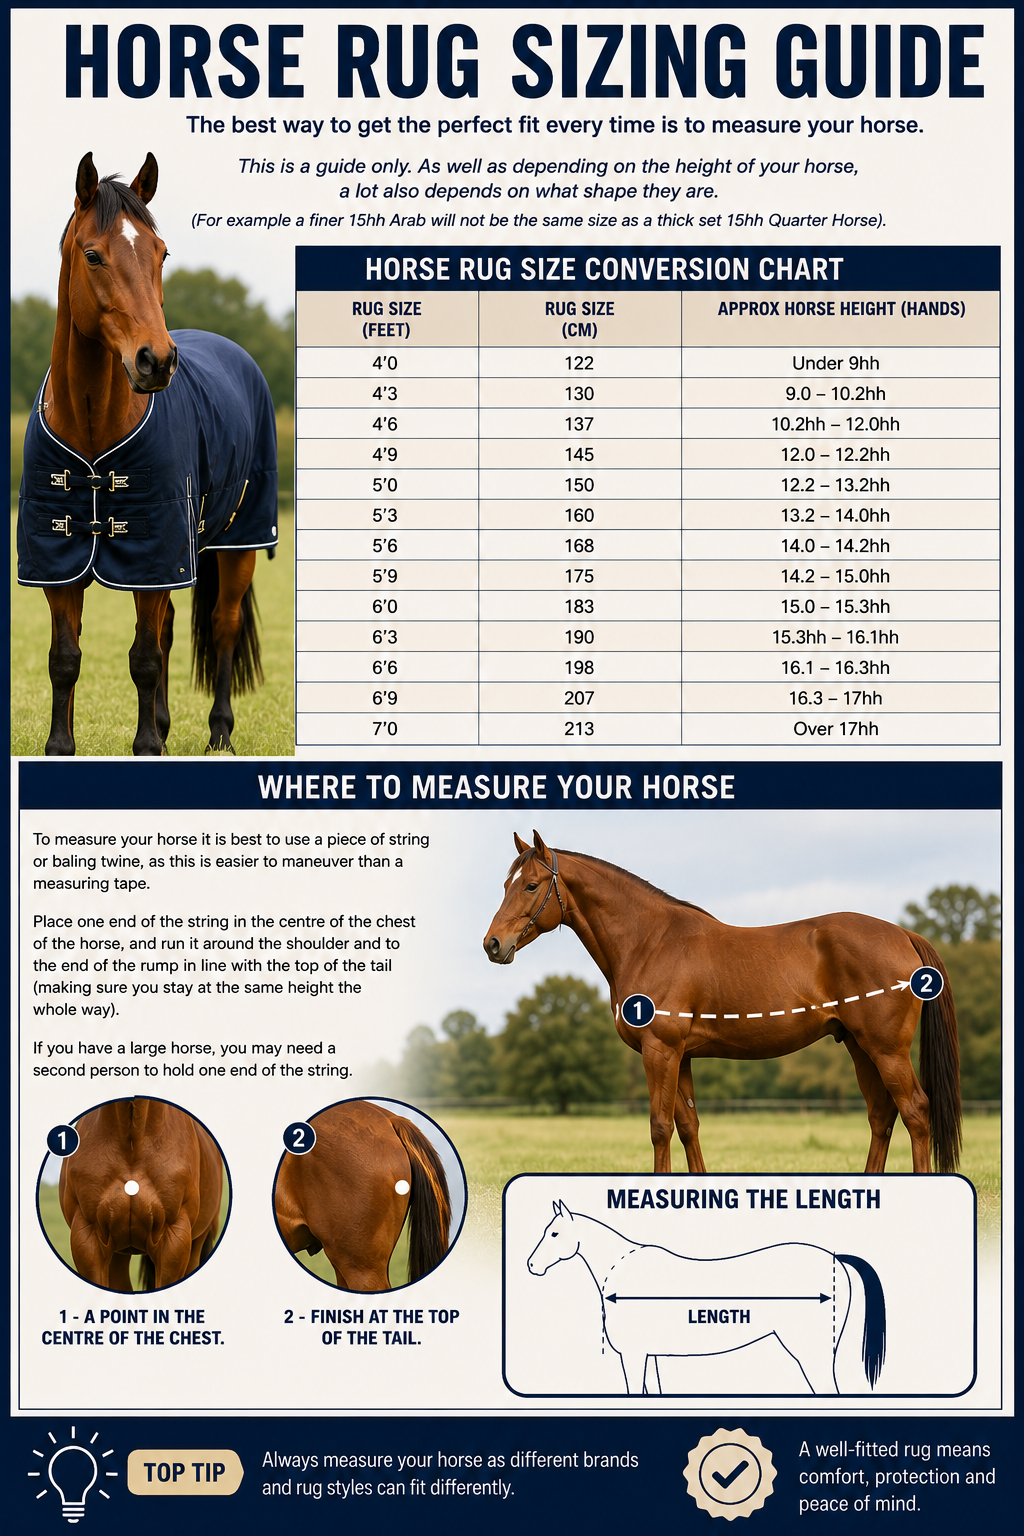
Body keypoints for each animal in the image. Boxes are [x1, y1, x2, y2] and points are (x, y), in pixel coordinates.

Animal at [17, 151, 278, 755]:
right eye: (93, 254)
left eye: (161, 252)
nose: (156, 360)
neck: (93, 432)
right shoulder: (59, 564)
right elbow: (65, 659)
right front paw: (61, 748)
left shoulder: (156, 554)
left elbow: (144, 658)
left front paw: (147, 747)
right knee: (171, 625)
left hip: (238, 543)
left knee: (222, 627)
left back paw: (219, 734)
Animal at [483, 832, 961, 1175]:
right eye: (505, 884)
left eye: (530, 885)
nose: (493, 944)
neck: (649, 940)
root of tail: (903, 935)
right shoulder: (681, 1057)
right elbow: (688, 1127)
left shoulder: (661, 1051)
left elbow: (660, 1128)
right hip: (860, 1048)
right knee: (882, 1116)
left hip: (886, 1050)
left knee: (916, 1112)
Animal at [527, 1201, 885, 1396]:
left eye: (554, 1233)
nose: (531, 1265)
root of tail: (836, 1258)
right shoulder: (649, 1356)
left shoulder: (632, 1355)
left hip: (812, 1354)